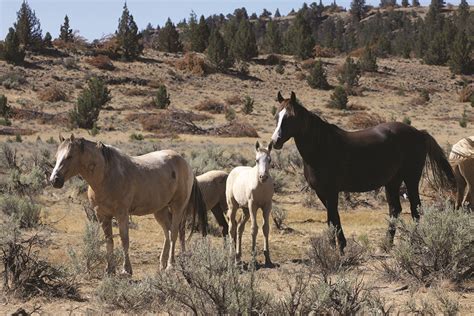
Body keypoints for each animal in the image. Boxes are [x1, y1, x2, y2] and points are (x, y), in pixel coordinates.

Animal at [48, 135, 209, 272]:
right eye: (56, 157)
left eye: (69, 156)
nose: (54, 180)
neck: (106, 176)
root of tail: (185, 164)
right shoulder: (102, 215)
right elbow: (109, 241)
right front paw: (109, 269)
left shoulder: (121, 214)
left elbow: (124, 240)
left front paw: (126, 270)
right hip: (160, 210)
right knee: (167, 233)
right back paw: (162, 264)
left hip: (177, 207)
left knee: (175, 233)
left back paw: (170, 265)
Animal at [272, 92, 458, 252]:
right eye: (276, 117)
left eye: (290, 117)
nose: (275, 141)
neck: (322, 147)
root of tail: (419, 133)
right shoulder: (321, 192)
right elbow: (331, 219)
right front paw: (333, 247)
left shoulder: (331, 191)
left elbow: (334, 218)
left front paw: (340, 248)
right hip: (392, 182)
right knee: (395, 210)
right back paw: (387, 244)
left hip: (411, 179)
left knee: (415, 209)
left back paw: (414, 242)